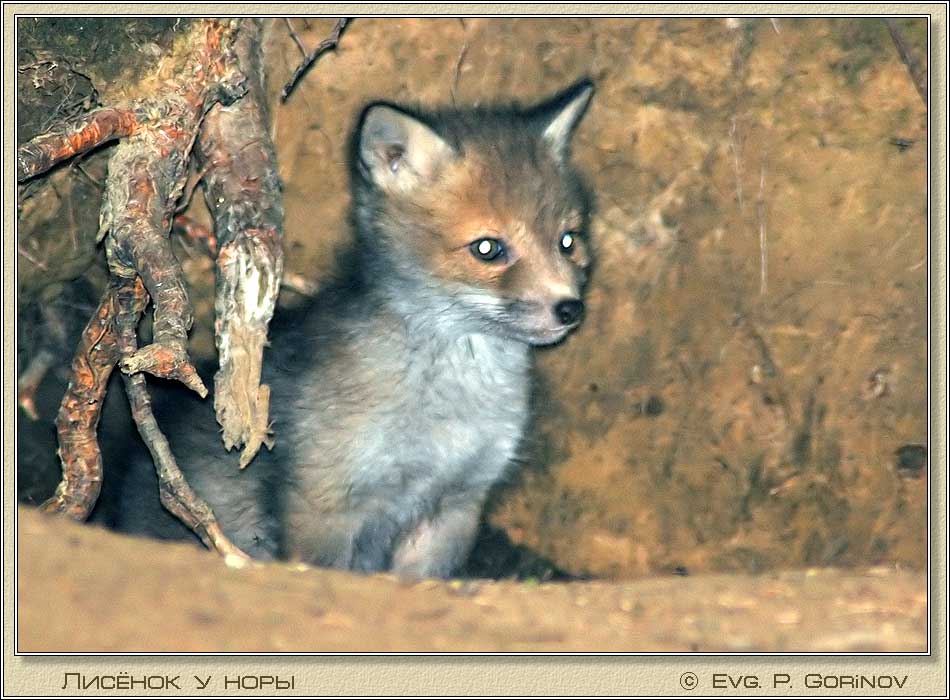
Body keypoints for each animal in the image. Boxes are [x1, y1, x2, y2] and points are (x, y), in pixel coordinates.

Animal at [106, 80, 595, 578]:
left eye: (568, 241)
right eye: (487, 248)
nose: (569, 308)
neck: (446, 410)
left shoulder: (454, 506)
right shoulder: (325, 504)